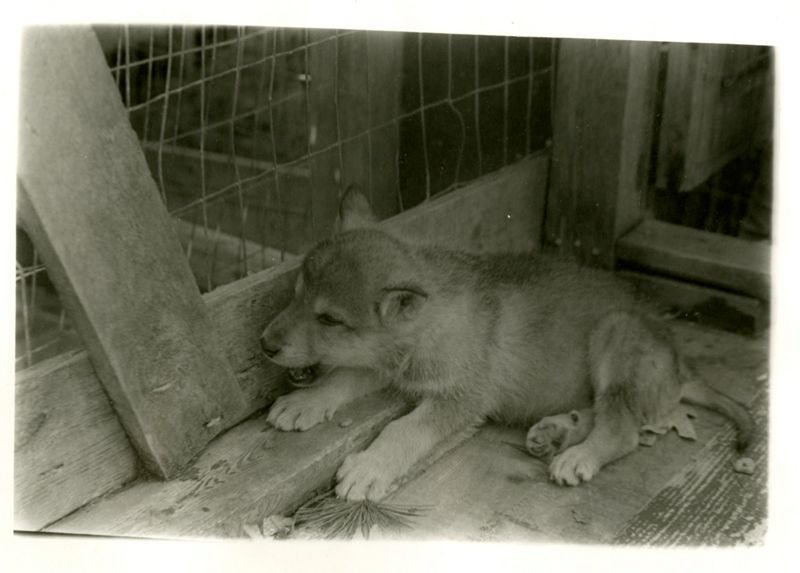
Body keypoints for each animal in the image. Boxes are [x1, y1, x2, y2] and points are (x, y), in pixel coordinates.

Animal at [260, 189, 753, 501]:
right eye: (297, 295)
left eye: (328, 319)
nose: (264, 344)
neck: (428, 327)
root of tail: (682, 367)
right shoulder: (383, 364)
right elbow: (343, 375)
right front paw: (304, 402)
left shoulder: (460, 400)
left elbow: (404, 429)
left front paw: (369, 467)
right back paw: (557, 430)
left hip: (616, 334)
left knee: (623, 428)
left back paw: (577, 455)